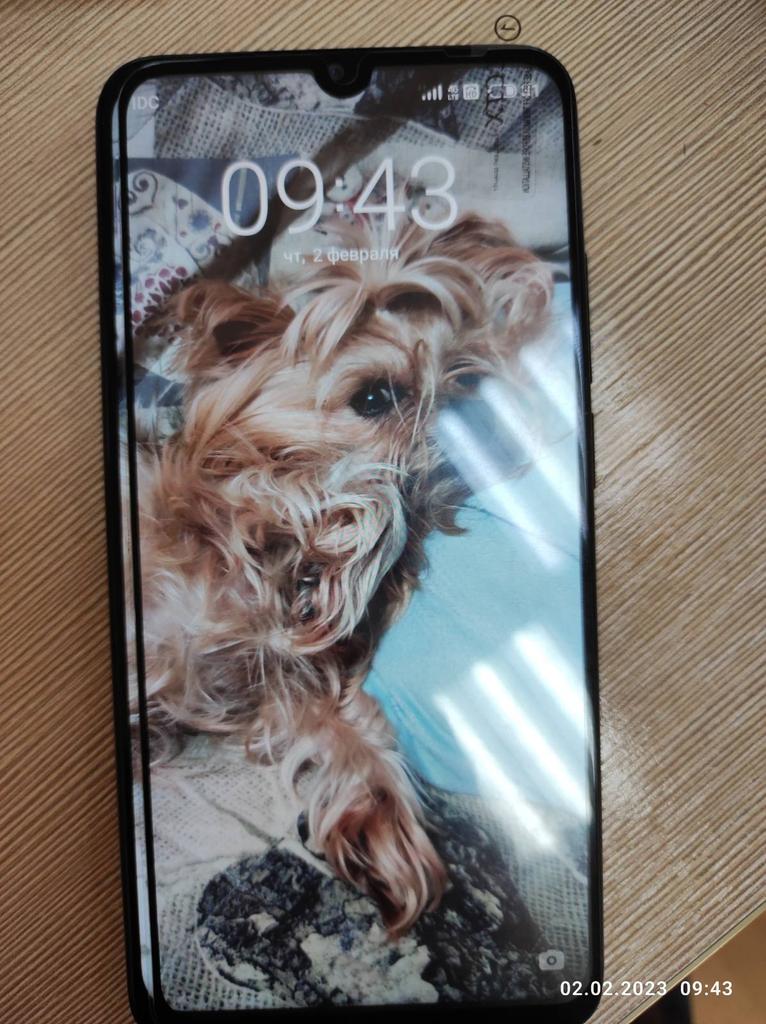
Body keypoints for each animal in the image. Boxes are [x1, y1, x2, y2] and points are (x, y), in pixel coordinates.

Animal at [136, 211, 553, 935]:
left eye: (468, 388)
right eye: (375, 396)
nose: (464, 443)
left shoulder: (280, 684)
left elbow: (344, 725)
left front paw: (382, 823)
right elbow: (307, 496)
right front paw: (358, 529)